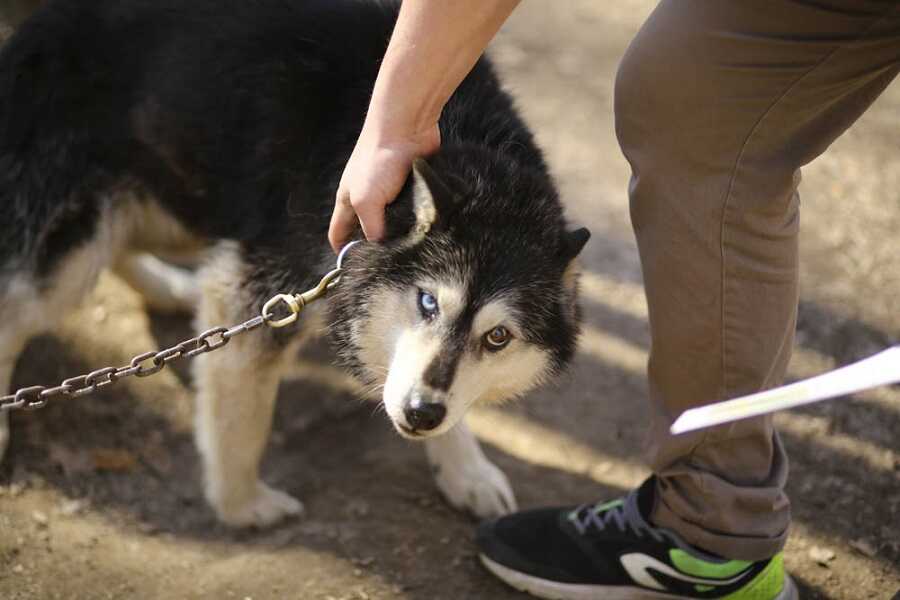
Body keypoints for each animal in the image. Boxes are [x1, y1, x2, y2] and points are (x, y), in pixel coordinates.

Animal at [0, 0, 588, 524]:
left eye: (498, 338)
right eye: (427, 303)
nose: (422, 414)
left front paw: (467, 469)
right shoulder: (255, 290)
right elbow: (244, 418)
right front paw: (242, 505)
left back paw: (165, 287)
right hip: (75, 238)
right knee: (23, 301)